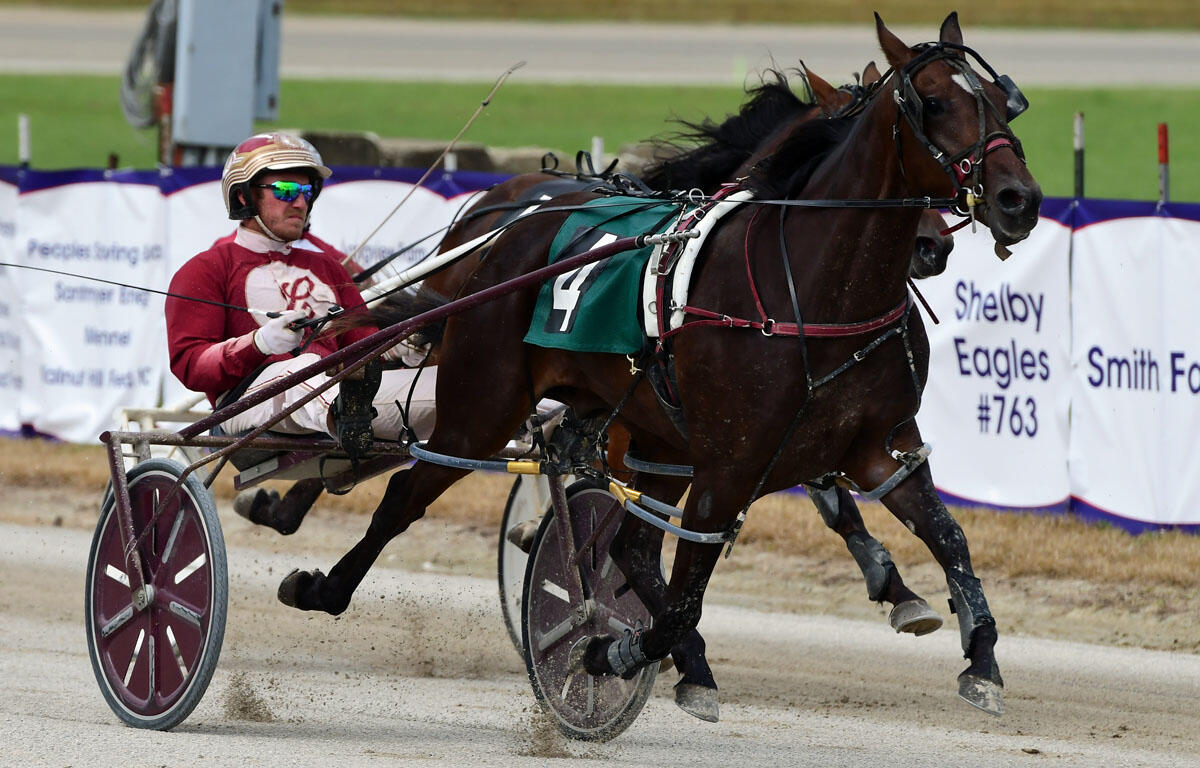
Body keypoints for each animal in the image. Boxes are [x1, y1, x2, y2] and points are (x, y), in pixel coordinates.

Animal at [278, 12, 1039, 718]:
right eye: (933, 102)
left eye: (1002, 102)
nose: (1017, 200)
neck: (815, 289)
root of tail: (503, 230)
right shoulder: (727, 464)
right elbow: (680, 596)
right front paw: (613, 650)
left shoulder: (879, 446)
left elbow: (947, 536)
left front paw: (976, 651)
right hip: (484, 406)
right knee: (407, 492)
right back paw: (320, 577)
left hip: (651, 440)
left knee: (629, 546)